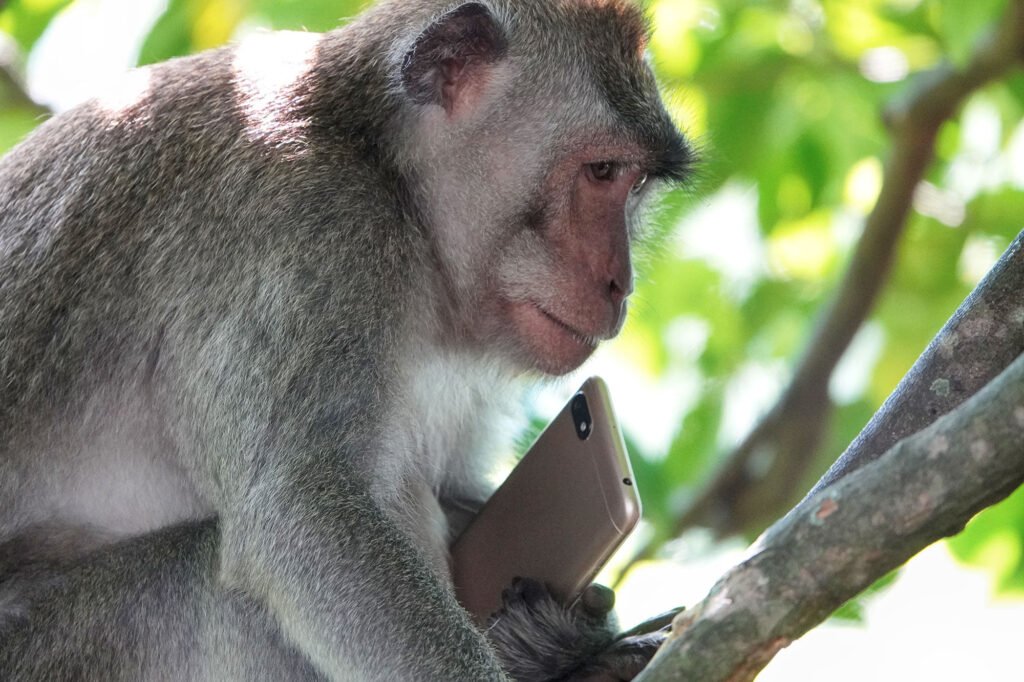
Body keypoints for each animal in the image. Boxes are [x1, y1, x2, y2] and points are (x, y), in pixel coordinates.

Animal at [0, 0, 693, 679]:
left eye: (634, 185)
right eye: (602, 171)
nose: (620, 285)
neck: (378, 162)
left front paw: (567, 641)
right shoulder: (313, 227)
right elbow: (304, 514)